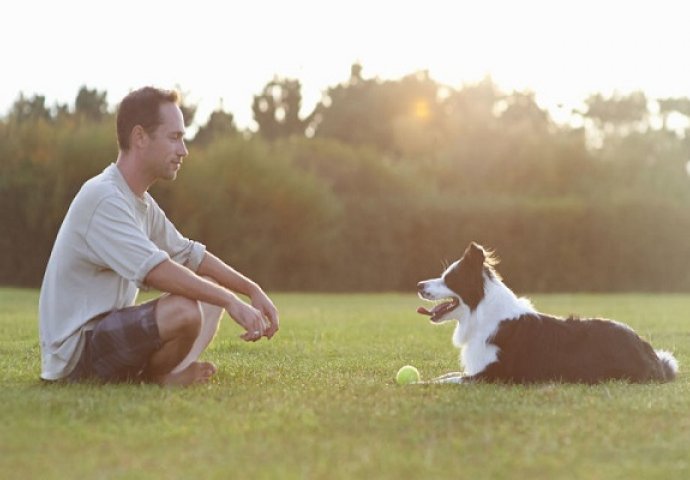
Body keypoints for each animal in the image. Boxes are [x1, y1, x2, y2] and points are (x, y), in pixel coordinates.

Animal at [416, 242, 676, 384]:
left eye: (449, 279)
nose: (419, 285)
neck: (481, 314)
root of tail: (647, 349)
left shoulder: (493, 375)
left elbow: (450, 379)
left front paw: (416, 384)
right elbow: (446, 375)